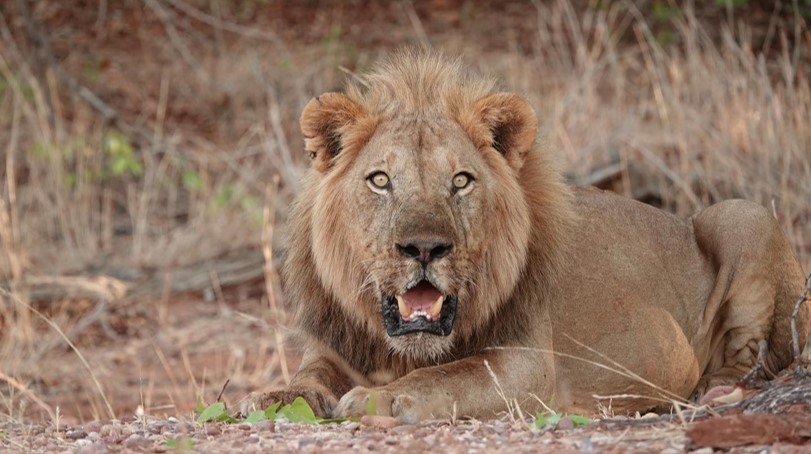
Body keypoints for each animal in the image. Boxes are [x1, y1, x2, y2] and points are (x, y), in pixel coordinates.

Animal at [239, 48, 811, 420]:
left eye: (461, 181)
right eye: (380, 180)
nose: (424, 248)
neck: (398, 349)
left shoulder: (526, 363)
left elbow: (449, 376)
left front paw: (380, 398)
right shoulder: (331, 351)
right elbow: (305, 380)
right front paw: (263, 398)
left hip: (742, 214)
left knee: (753, 358)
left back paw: (710, 392)